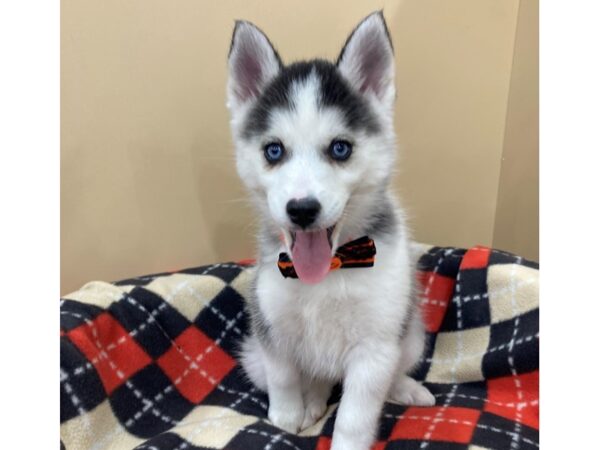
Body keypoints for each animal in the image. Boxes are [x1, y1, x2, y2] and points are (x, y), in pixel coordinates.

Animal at [227, 10, 434, 450]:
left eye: (340, 148)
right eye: (273, 150)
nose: (302, 210)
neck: (330, 270)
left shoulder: (376, 348)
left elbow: (356, 416)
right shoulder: (270, 328)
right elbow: (284, 377)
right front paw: (286, 418)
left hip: (410, 335)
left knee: (393, 371)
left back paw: (406, 388)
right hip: (251, 356)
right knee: (313, 378)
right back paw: (313, 403)